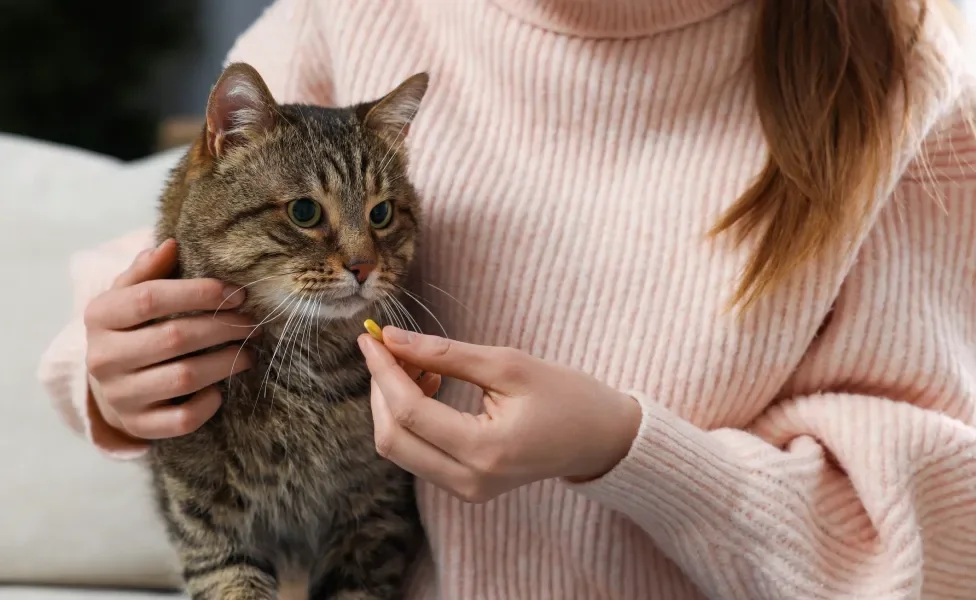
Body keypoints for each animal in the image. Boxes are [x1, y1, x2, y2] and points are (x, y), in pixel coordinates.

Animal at [148, 62, 428, 600]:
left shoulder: (374, 514)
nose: (364, 267)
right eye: (304, 211)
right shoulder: (210, 526)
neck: (304, 367)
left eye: (381, 213)